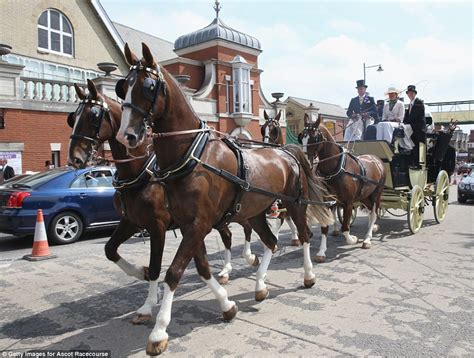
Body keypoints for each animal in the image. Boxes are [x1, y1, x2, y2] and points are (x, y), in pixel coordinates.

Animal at [67, 81, 256, 322]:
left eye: (93, 115)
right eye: (73, 117)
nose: (74, 158)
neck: (140, 172)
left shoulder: (157, 226)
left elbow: (156, 266)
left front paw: (148, 304)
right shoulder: (131, 221)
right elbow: (110, 249)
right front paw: (141, 273)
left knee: (246, 227)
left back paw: (248, 258)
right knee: (229, 235)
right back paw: (226, 270)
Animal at [114, 42, 334, 356]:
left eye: (148, 85)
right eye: (124, 86)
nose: (126, 135)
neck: (192, 156)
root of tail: (288, 152)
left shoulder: (198, 224)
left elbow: (173, 272)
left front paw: (158, 331)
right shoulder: (189, 225)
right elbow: (201, 267)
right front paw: (226, 304)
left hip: (294, 203)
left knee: (304, 235)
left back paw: (307, 274)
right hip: (256, 212)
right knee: (271, 241)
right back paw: (260, 286)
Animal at [300, 114, 386, 262]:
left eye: (314, 137)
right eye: (301, 136)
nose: (304, 160)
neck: (336, 168)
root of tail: (376, 159)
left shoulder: (348, 203)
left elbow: (345, 226)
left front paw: (352, 239)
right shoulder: (327, 202)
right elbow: (324, 227)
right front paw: (321, 252)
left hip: (376, 194)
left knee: (374, 212)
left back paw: (367, 239)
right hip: (364, 196)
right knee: (370, 212)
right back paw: (373, 227)